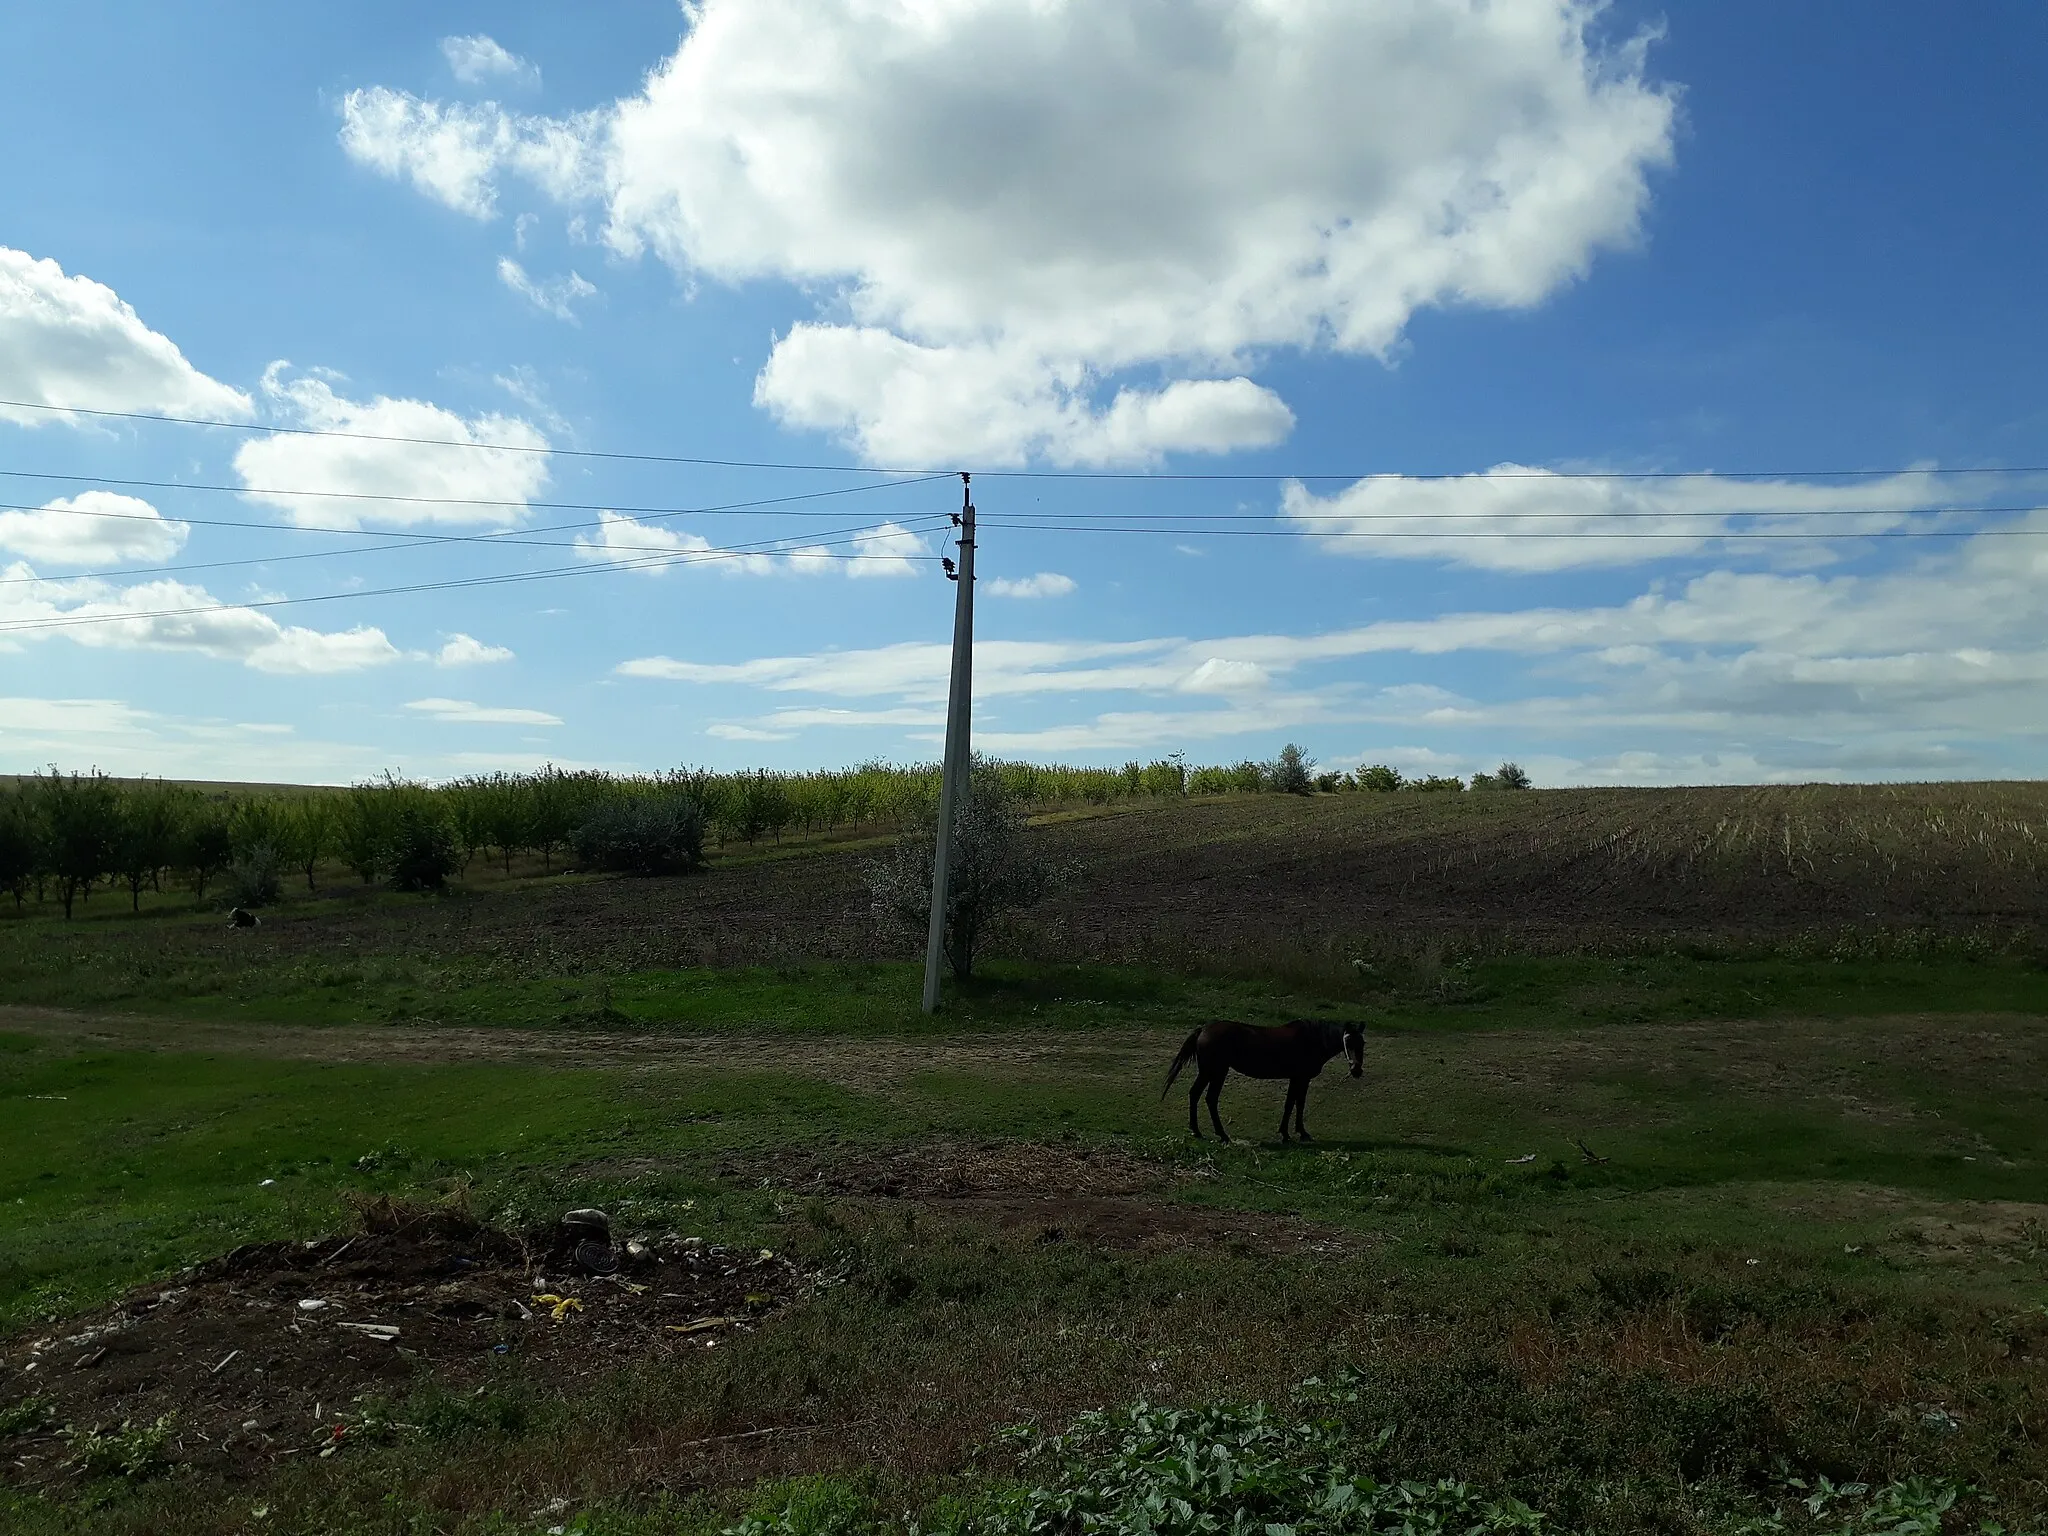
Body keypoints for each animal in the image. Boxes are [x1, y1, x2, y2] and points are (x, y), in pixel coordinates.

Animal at [1171, 1024, 1359, 1146]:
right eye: (1347, 1042)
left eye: (1361, 1043)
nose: (1357, 1070)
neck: (1312, 1039)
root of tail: (1203, 1030)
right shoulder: (1301, 1078)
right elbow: (1296, 1104)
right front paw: (1296, 1133)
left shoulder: (1297, 1079)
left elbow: (1293, 1103)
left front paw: (1289, 1133)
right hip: (1216, 1072)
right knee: (1210, 1098)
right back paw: (1222, 1135)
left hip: (1209, 1073)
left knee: (1195, 1094)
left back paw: (1197, 1131)